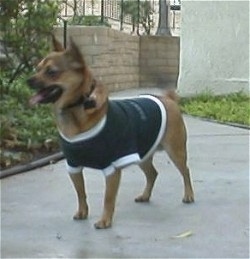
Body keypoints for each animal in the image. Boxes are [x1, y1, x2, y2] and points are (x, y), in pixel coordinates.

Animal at [27, 36, 195, 230]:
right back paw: (145, 195)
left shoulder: (111, 169)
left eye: (51, 72)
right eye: (37, 68)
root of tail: (168, 98)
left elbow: (108, 198)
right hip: (143, 154)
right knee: (152, 173)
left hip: (175, 151)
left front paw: (105, 220)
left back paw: (189, 195)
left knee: (185, 171)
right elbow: (81, 193)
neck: (78, 109)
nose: (28, 80)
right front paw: (83, 212)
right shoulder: (74, 166)